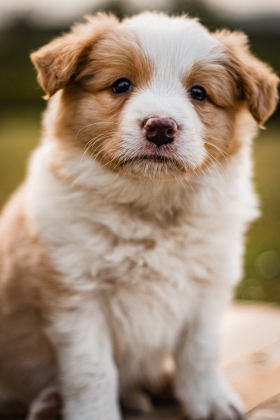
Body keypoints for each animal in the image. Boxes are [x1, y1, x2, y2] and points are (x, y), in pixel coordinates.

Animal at [0, 11, 278, 420]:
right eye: (120, 85)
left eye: (199, 93)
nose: (160, 127)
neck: (151, 205)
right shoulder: (75, 296)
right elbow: (92, 369)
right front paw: (95, 414)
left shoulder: (208, 287)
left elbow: (201, 352)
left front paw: (210, 400)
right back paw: (50, 403)